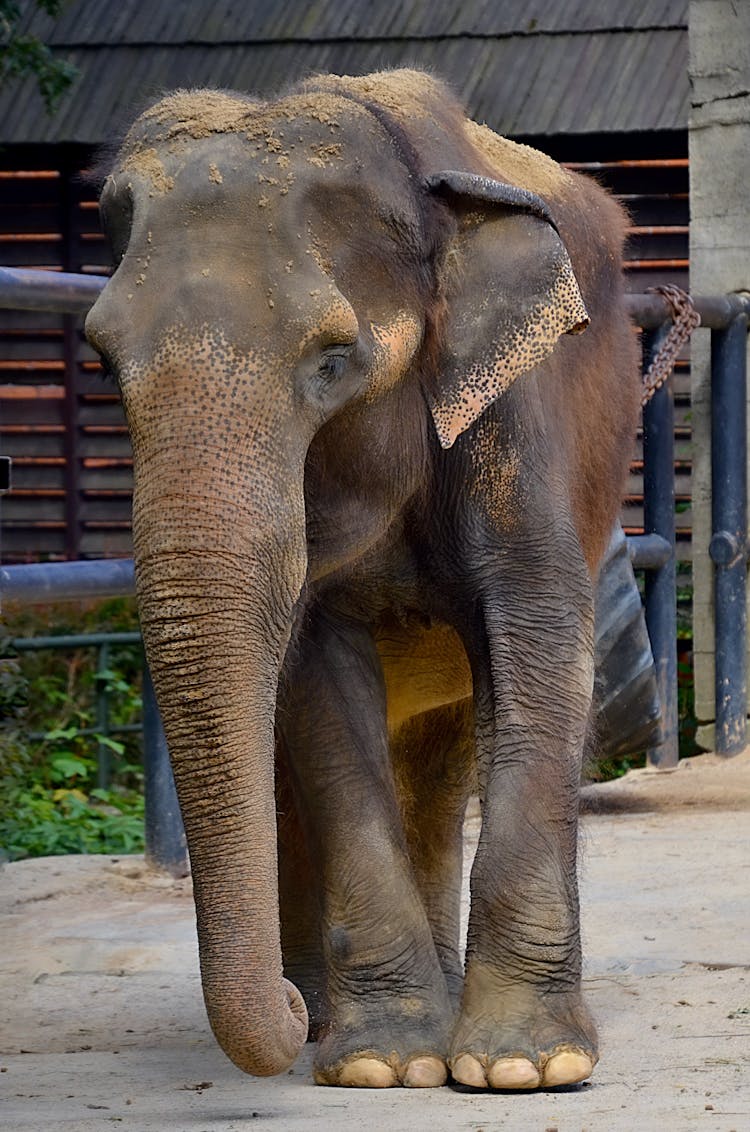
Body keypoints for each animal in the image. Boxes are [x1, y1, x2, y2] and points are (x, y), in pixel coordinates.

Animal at [86, 68, 638, 1086]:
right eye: (104, 365)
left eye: (333, 360)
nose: (289, 1007)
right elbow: (316, 686)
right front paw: (383, 1063)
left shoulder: (516, 411)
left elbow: (539, 634)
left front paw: (524, 1066)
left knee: (445, 754)